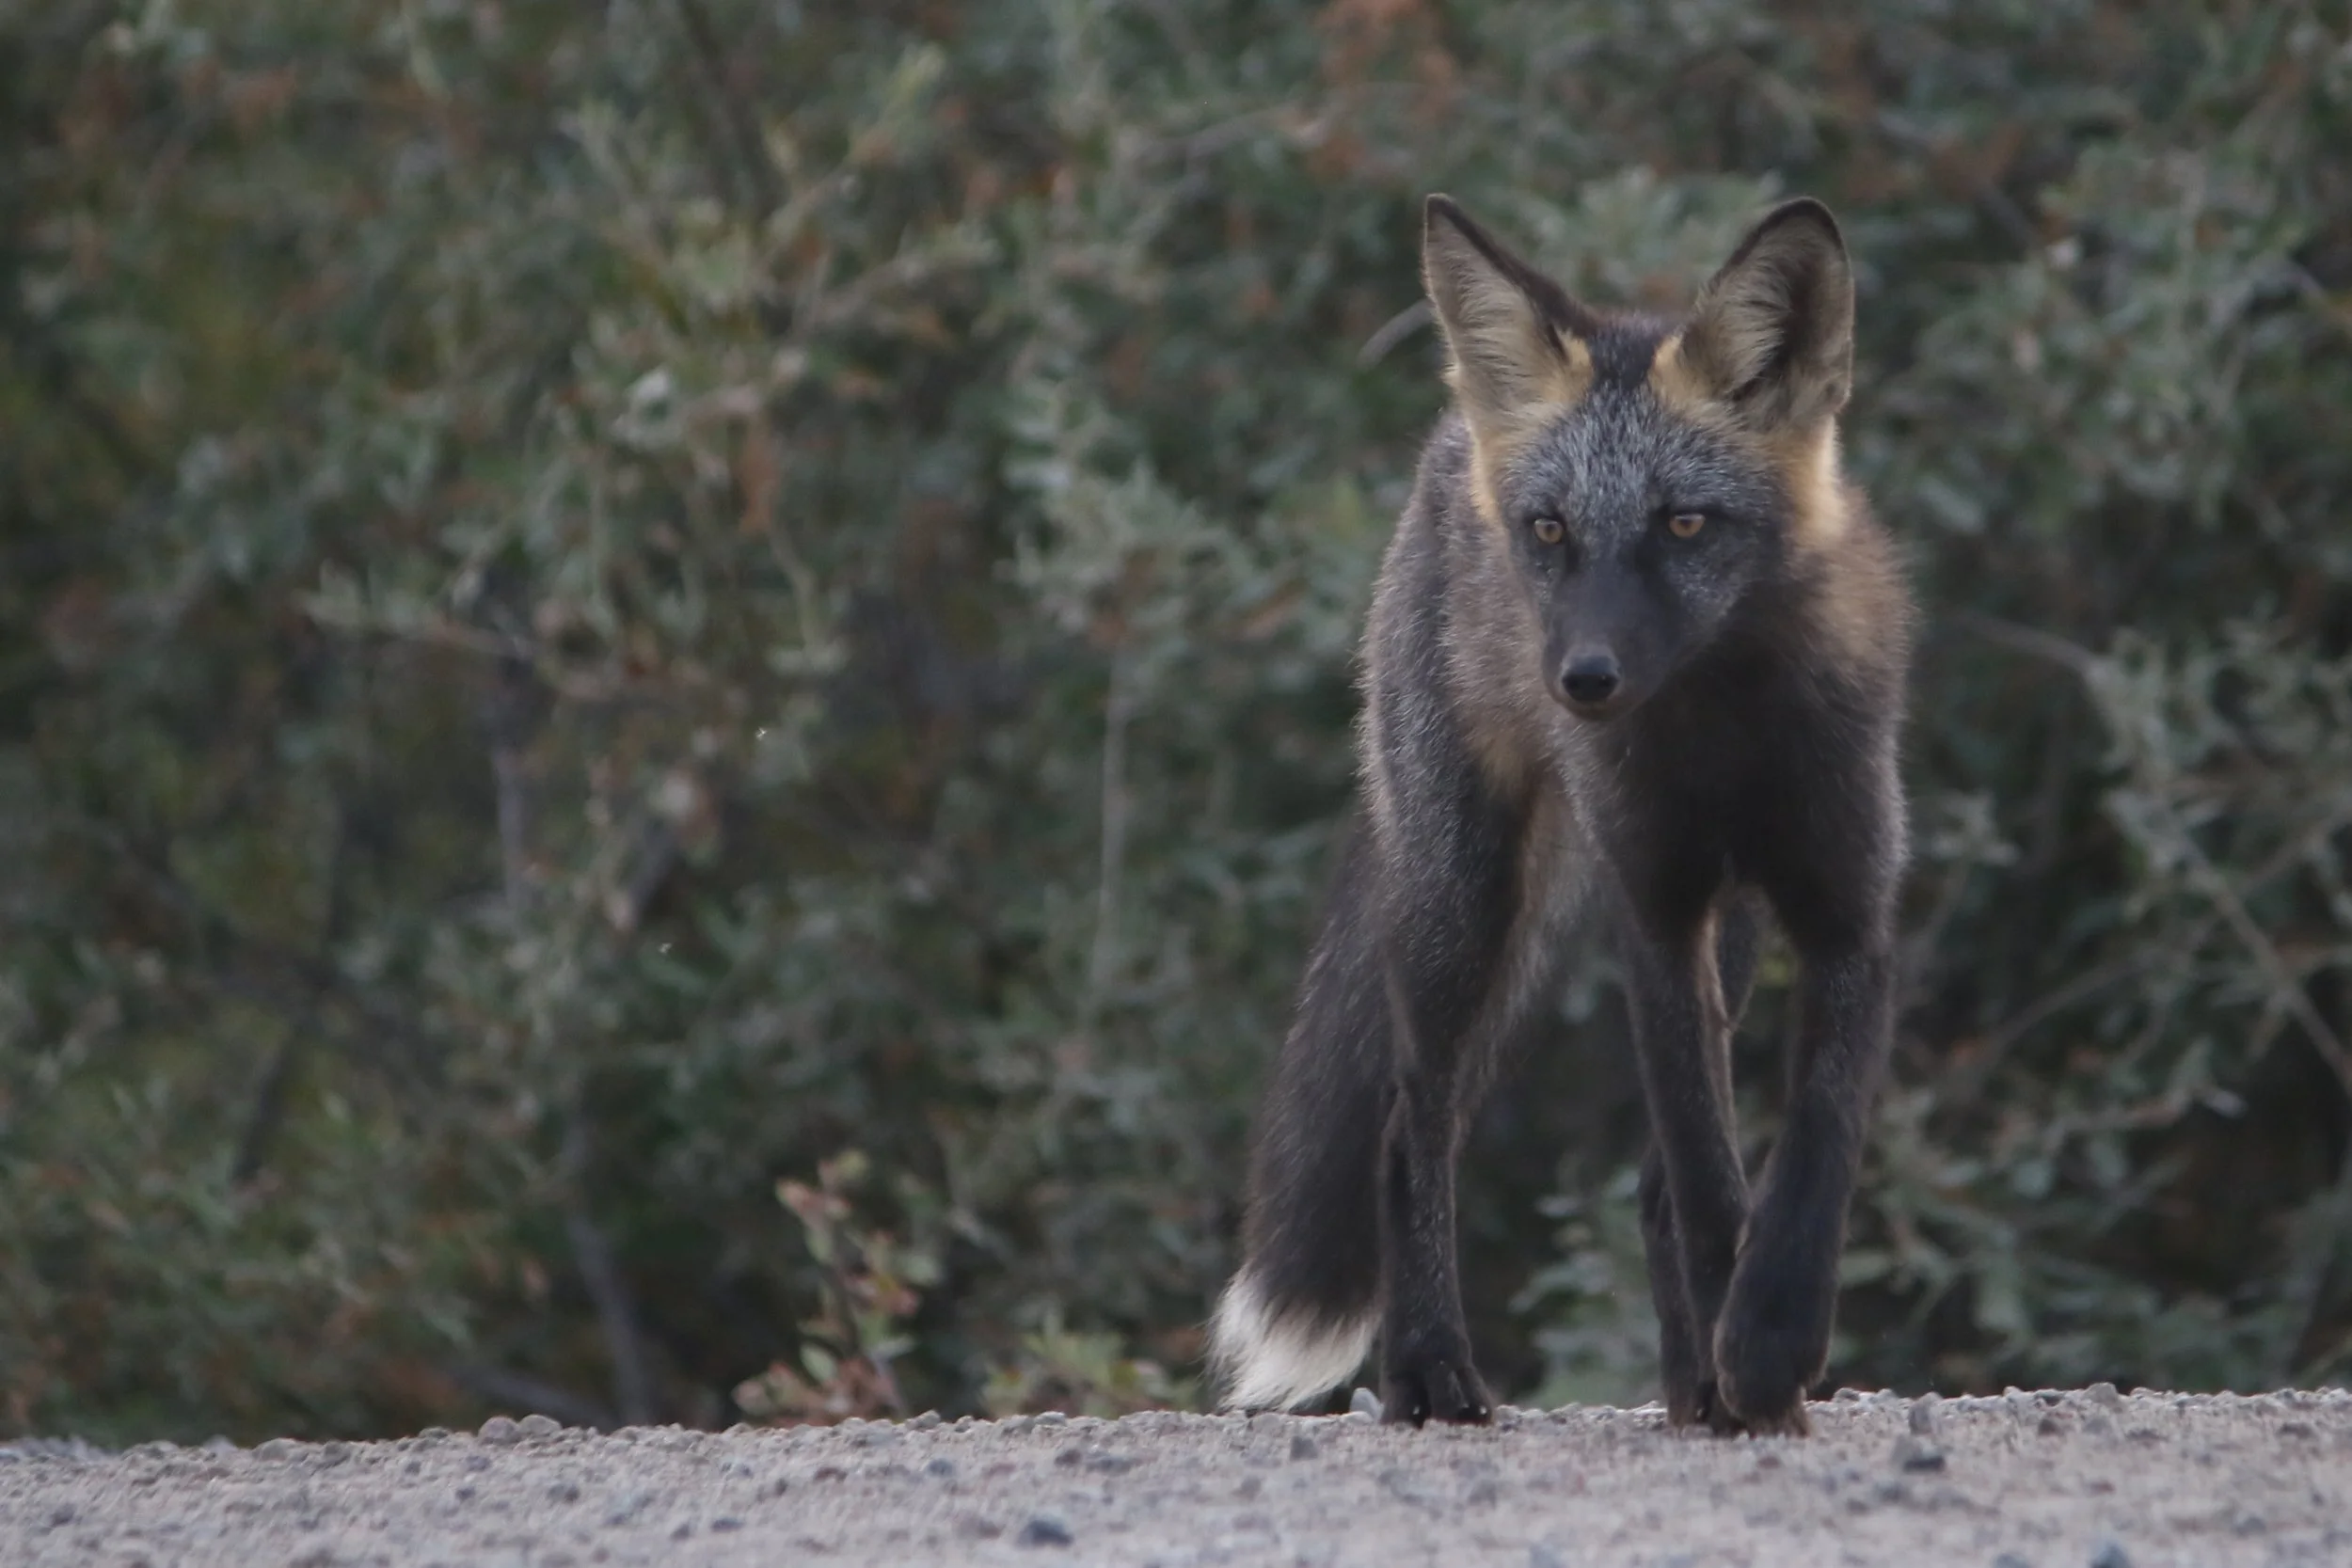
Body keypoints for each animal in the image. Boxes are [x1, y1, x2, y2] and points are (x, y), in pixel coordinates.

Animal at [1207, 194, 1912, 1434]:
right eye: (1549, 532)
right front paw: (1750, 1347)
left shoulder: (1844, 907)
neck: (1726, 746)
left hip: (1724, 931)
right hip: (1464, 899)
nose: (1581, 680)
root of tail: (1453, 431)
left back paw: (1692, 1383)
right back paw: (1429, 1369)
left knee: (1647, 1180)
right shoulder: (1655, 910)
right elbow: (1706, 1173)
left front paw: (1766, 1341)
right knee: (1410, 1125)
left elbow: (1808, 1156)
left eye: (1683, 525)